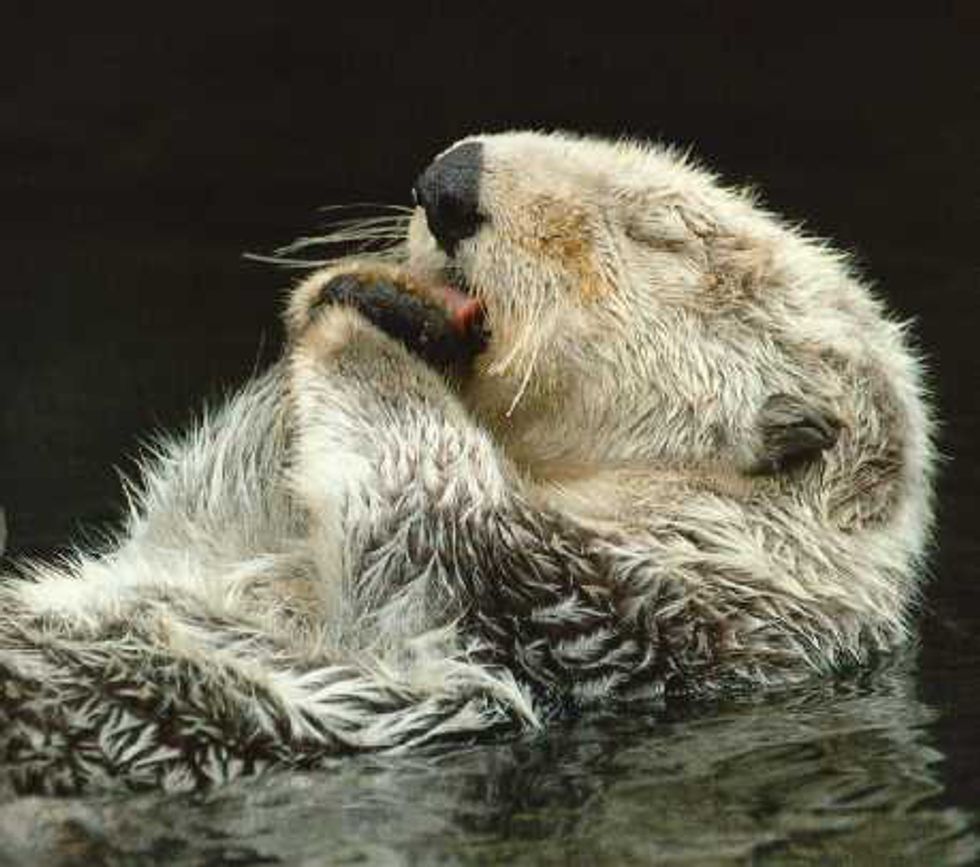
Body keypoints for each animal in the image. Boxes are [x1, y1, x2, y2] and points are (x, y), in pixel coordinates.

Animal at [0, 131, 934, 794]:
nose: (448, 182)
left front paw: (369, 327)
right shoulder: (208, 532)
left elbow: (427, 515)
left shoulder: (616, 608)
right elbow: (192, 513)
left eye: (658, 235)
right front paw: (352, 286)